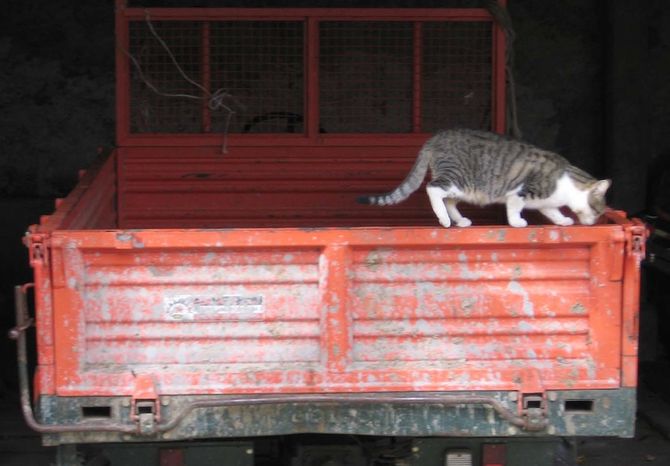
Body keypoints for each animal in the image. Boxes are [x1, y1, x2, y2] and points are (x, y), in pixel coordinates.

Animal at [360, 129, 612, 228]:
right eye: (598, 211)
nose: (594, 222)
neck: (567, 184)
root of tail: (435, 138)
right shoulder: (523, 191)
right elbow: (515, 207)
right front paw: (517, 222)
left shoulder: (545, 202)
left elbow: (552, 212)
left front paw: (563, 220)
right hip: (458, 177)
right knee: (433, 189)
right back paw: (444, 219)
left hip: (462, 188)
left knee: (448, 199)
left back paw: (460, 220)